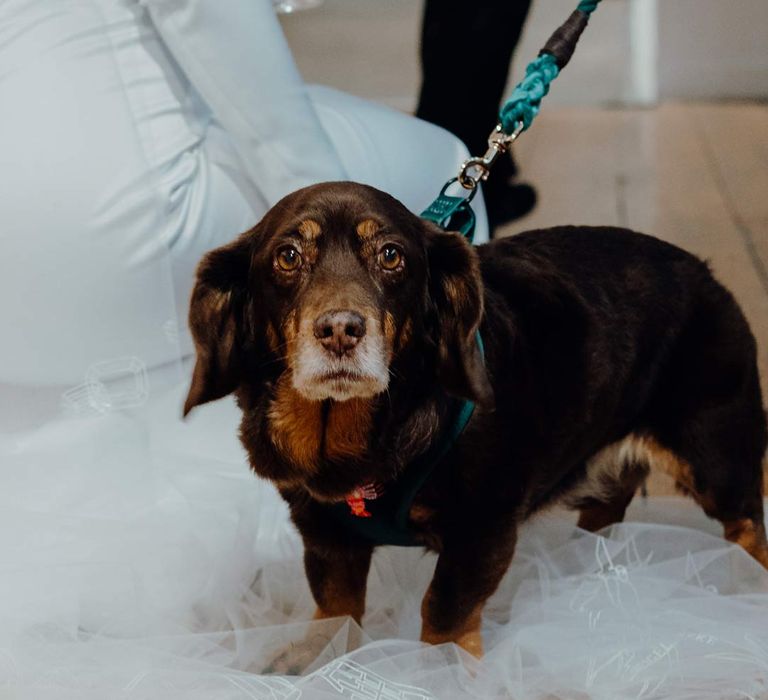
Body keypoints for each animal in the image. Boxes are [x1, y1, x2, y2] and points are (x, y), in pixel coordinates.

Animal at [184, 180, 768, 656]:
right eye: (287, 255)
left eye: (391, 255)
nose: (340, 331)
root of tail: (707, 274)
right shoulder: (326, 537)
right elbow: (335, 615)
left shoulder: (482, 533)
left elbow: (444, 617)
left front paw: (438, 672)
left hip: (717, 460)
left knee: (748, 526)